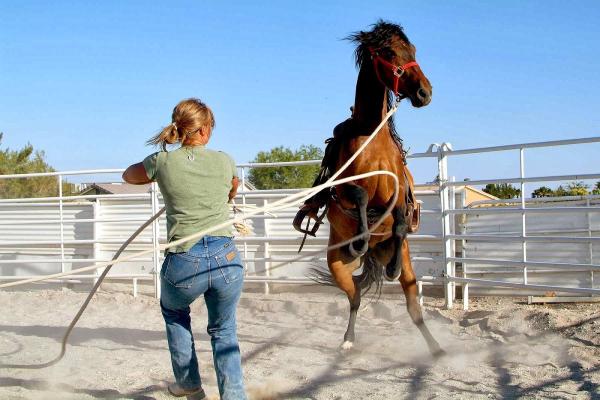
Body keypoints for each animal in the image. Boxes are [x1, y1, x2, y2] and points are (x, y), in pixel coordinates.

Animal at [302, 19, 442, 356]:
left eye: (413, 49)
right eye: (389, 52)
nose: (425, 92)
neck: (371, 136)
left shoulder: (400, 192)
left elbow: (401, 221)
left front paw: (390, 258)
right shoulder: (344, 190)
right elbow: (361, 196)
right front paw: (362, 238)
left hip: (409, 269)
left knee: (413, 308)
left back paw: (436, 348)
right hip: (338, 267)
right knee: (354, 297)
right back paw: (348, 339)